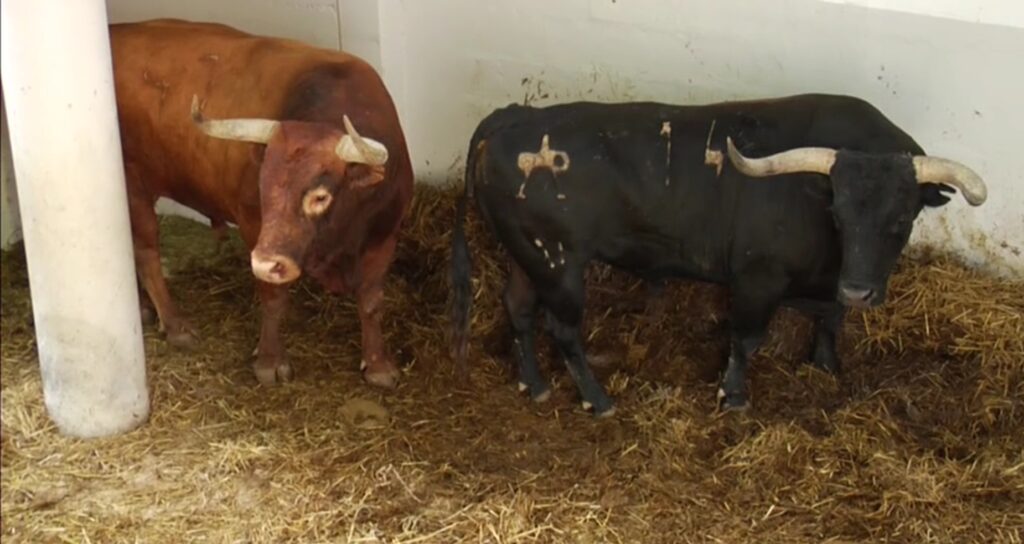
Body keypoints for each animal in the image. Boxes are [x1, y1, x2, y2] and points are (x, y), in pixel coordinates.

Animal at [110, 20, 413, 387]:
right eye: (263, 187)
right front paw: (270, 360)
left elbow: (370, 301)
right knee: (147, 253)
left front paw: (379, 364)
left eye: (320, 195)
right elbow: (273, 298)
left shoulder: (385, 235)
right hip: (134, 185)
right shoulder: (254, 227)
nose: (268, 262)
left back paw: (142, 308)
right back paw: (176, 324)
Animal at [451, 94, 987, 416]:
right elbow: (746, 339)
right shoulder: (758, 279)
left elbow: (832, 319)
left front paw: (825, 363)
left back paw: (533, 383)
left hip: (529, 256)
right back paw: (597, 399)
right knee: (562, 329)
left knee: (518, 308)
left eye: (901, 219)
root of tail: (515, 115)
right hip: (559, 265)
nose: (859, 290)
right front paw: (734, 395)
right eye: (838, 212)